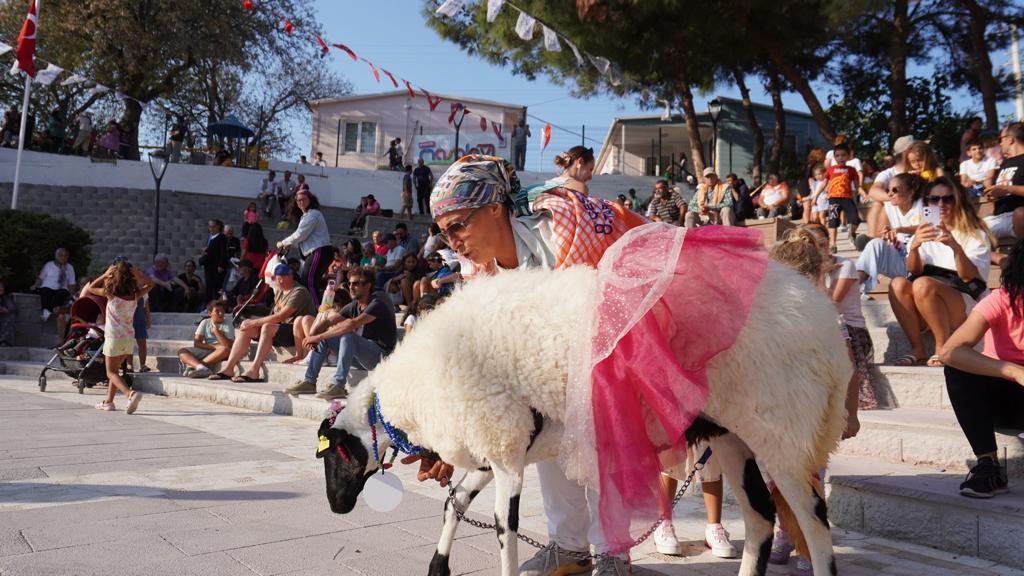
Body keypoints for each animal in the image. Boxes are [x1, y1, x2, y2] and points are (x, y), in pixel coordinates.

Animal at [315, 260, 851, 573]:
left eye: (336, 456)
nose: (337, 507)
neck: (413, 389)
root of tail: (828, 328)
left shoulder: (504, 448)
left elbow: (504, 528)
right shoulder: (498, 449)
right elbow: (455, 504)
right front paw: (437, 567)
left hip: (786, 432)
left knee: (815, 526)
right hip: (733, 434)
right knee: (760, 518)